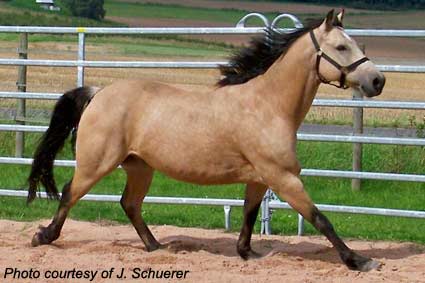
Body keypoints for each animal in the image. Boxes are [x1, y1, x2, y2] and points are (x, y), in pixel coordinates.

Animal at [26, 9, 384, 272]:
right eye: (341, 47)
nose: (378, 80)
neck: (269, 106)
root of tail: (98, 92)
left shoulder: (261, 178)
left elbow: (249, 214)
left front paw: (247, 253)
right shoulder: (283, 178)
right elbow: (320, 219)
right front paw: (360, 261)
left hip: (140, 167)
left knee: (130, 204)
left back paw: (157, 247)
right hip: (97, 163)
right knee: (71, 192)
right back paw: (43, 236)